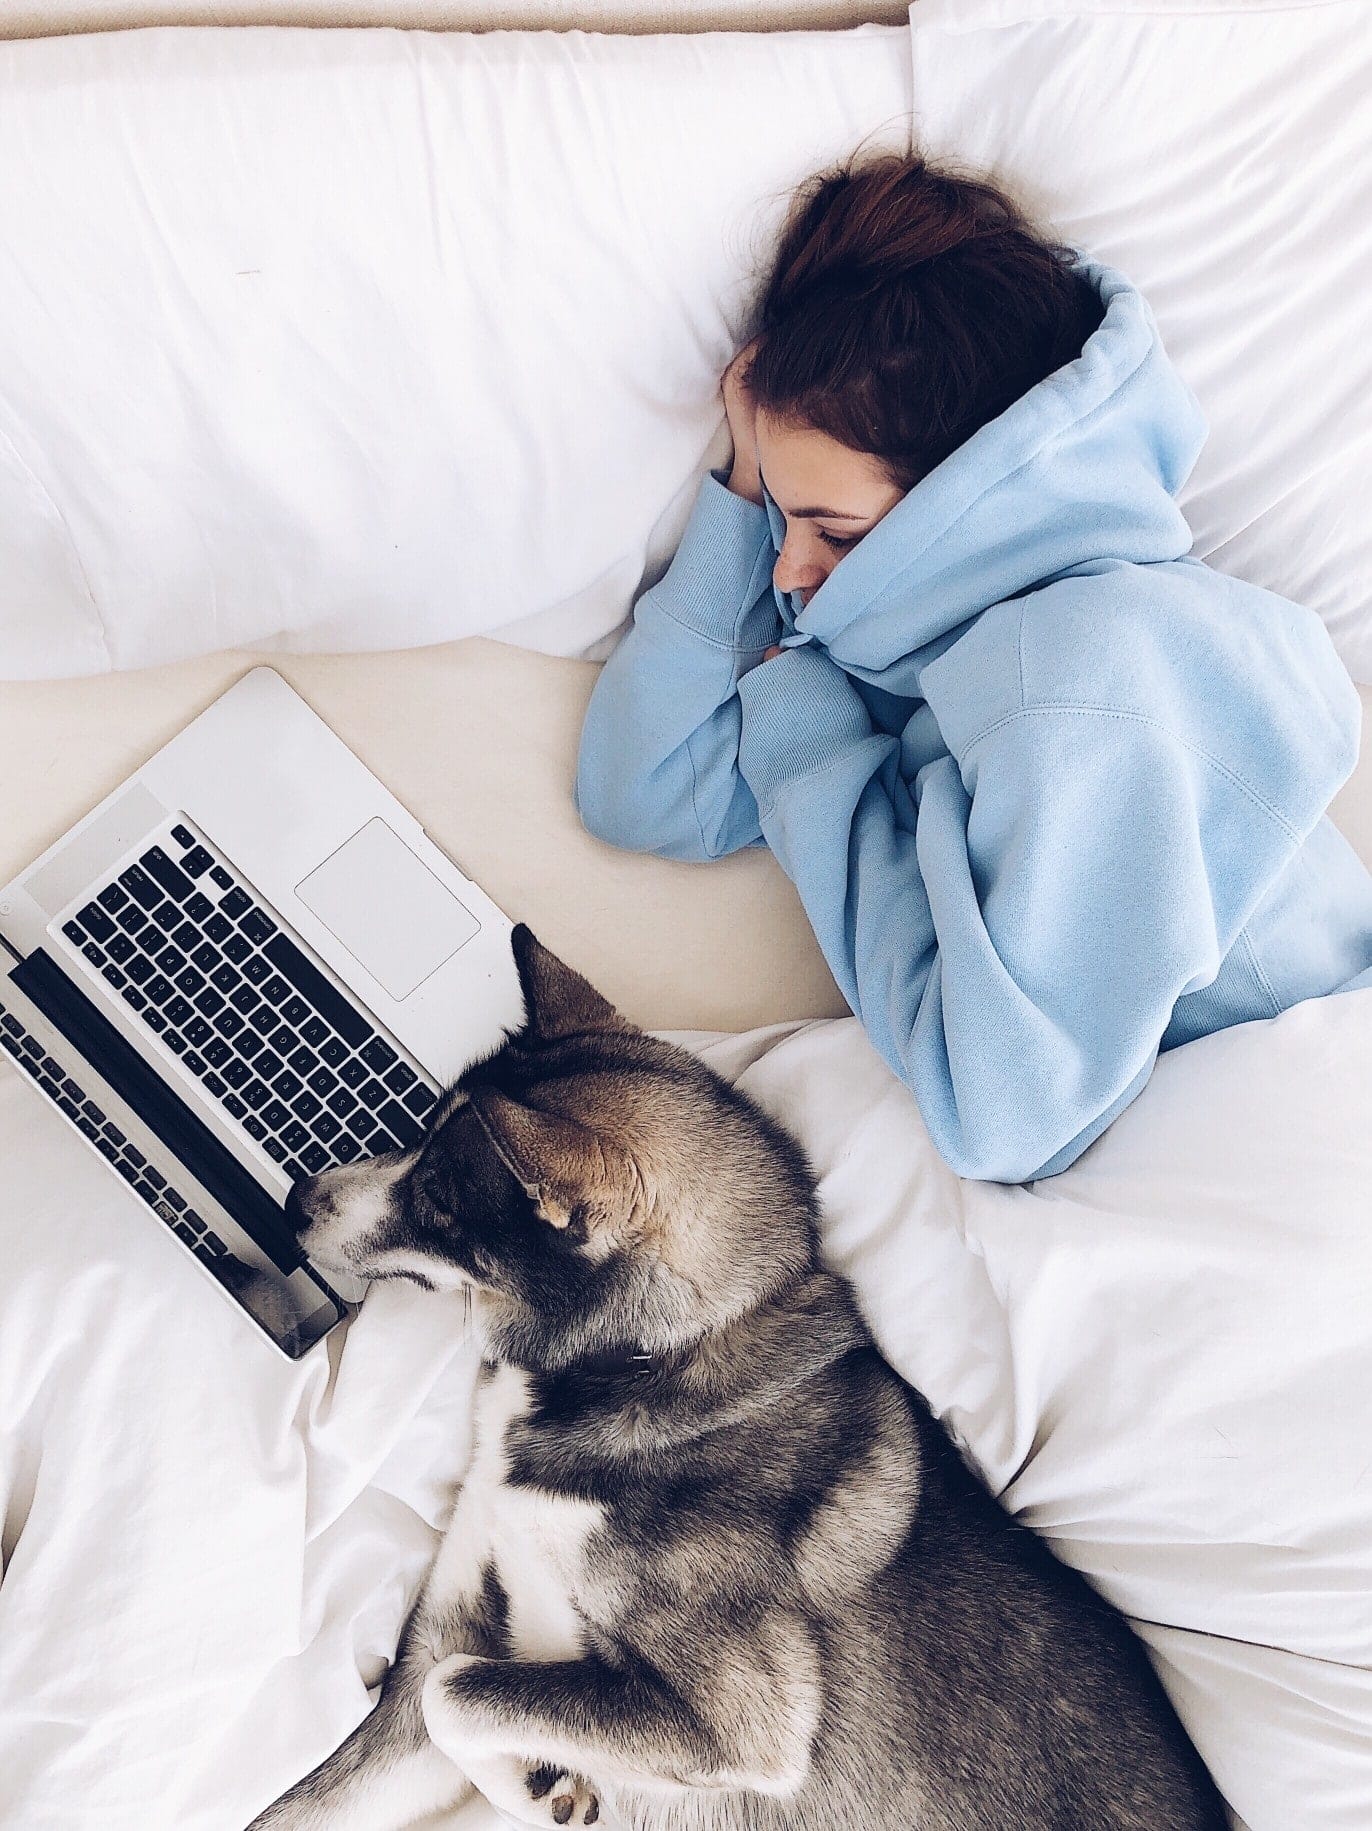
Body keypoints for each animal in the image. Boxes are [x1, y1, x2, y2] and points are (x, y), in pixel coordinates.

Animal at [250, 930, 1223, 1831]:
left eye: (440, 1201)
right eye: (418, 1136)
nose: (295, 1202)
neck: (646, 1363)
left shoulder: (742, 1721)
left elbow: (461, 1687)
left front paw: (535, 1781)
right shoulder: (443, 1640)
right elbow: (381, 1737)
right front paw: (538, 1780)